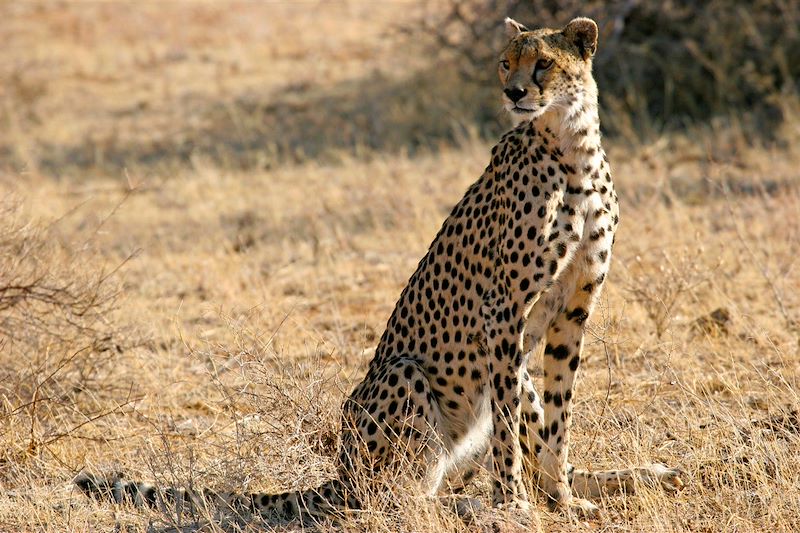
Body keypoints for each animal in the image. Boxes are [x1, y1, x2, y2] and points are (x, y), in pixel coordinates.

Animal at [78, 17, 684, 524]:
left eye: (543, 64)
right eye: (504, 63)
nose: (513, 93)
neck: (570, 147)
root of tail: (340, 475)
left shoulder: (571, 312)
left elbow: (555, 419)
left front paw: (562, 498)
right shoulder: (503, 311)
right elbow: (514, 432)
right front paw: (514, 506)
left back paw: (629, 476)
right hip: (406, 374)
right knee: (398, 498)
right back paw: (470, 505)